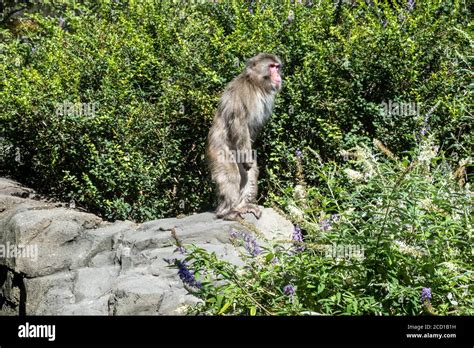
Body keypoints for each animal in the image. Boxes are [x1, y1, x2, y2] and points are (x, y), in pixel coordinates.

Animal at [206, 53, 282, 220]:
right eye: (271, 67)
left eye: (277, 67)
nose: (278, 75)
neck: (256, 84)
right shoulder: (242, 93)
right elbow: (239, 123)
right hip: (219, 150)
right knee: (231, 174)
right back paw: (228, 211)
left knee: (249, 172)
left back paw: (243, 205)